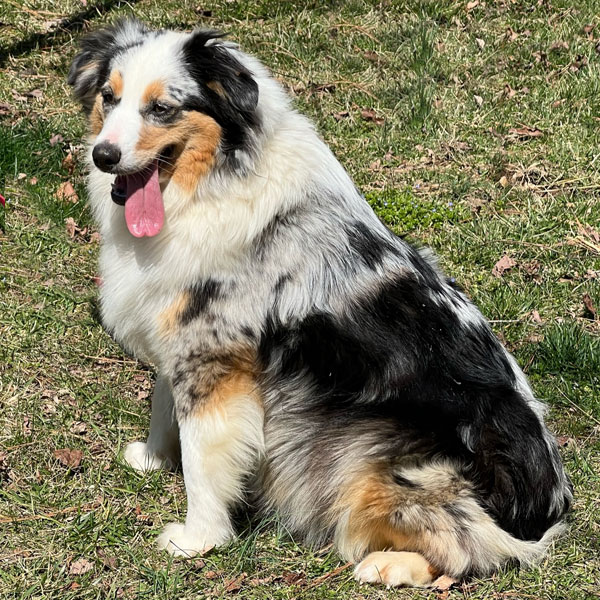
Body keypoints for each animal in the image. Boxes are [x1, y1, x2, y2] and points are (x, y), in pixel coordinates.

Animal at [68, 18, 568, 584]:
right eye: (109, 98)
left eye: (162, 108)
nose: (103, 156)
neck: (209, 184)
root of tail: (547, 514)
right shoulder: (178, 328)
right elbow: (162, 401)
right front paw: (153, 458)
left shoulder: (215, 353)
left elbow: (202, 455)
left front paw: (198, 539)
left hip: (370, 457)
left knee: (470, 549)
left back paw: (388, 564)